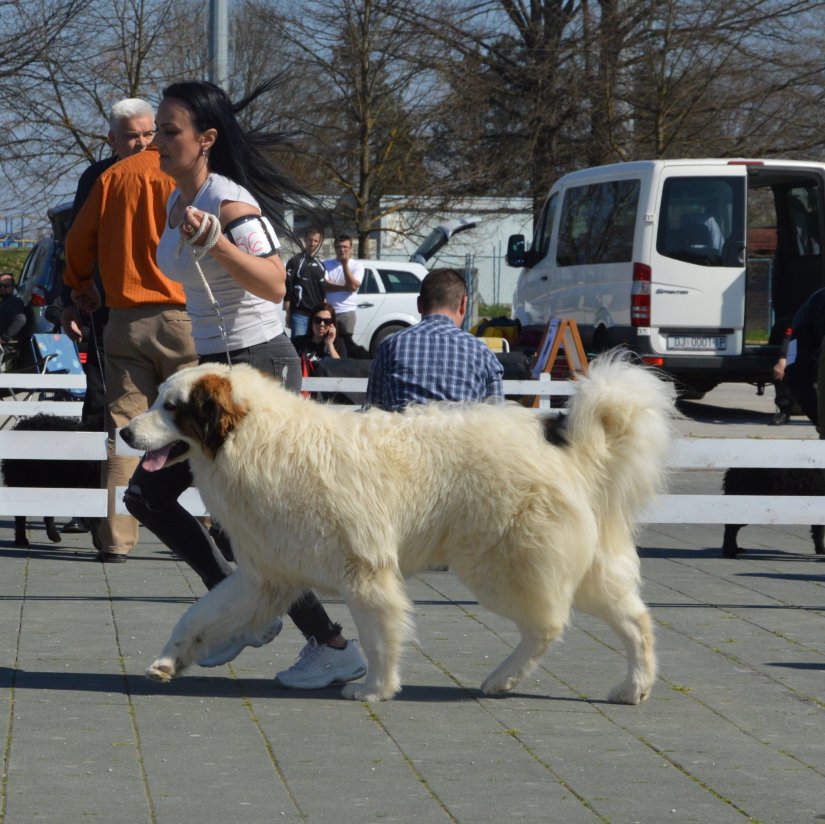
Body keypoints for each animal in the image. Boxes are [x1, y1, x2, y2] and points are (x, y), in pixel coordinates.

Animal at [122, 350, 676, 704]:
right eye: (157, 400)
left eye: (172, 408)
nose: (124, 431)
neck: (255, 438)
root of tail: (561, 438)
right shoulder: (265, 578)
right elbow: (197, 617)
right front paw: (169, 661)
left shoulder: (365, 573)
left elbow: (378, 636)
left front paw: (375, 689)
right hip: (575, 566)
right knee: (635, 620)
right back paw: (634, 687)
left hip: (503, 566)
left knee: (548, 626)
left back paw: (503, 678)